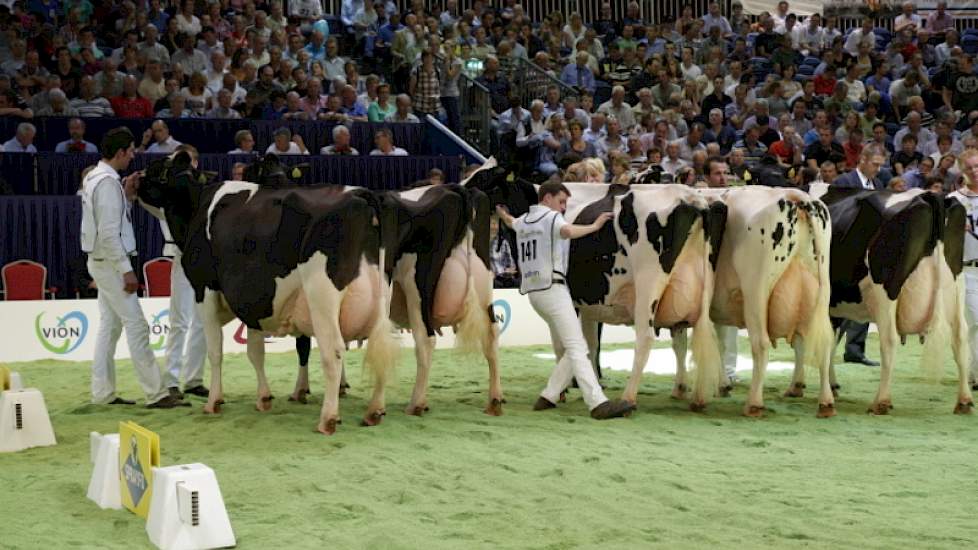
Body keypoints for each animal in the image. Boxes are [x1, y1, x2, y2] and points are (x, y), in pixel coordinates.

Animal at [137, 155, 396, 436]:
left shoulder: (205, 290)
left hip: (322, 295)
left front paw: (214, 401)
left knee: (334, 352)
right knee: (381, 349)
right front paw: (263, 398)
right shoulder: (253, 302)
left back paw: (328, 418)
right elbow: (255, 352)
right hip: (381, 297)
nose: (134, 180)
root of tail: (360, 194)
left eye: (157, 168)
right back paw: (375, 411)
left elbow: (215, 351)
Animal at [796, 183, 972, 416]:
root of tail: (931, 196)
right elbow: (830, 342)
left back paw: (881, 401)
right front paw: (830, 386)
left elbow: (806, 341)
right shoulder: (834, 307)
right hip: (956, 288)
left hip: (886, 292)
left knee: (889, 341)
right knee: (960, 338)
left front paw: (800, 386)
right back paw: (964, 401)